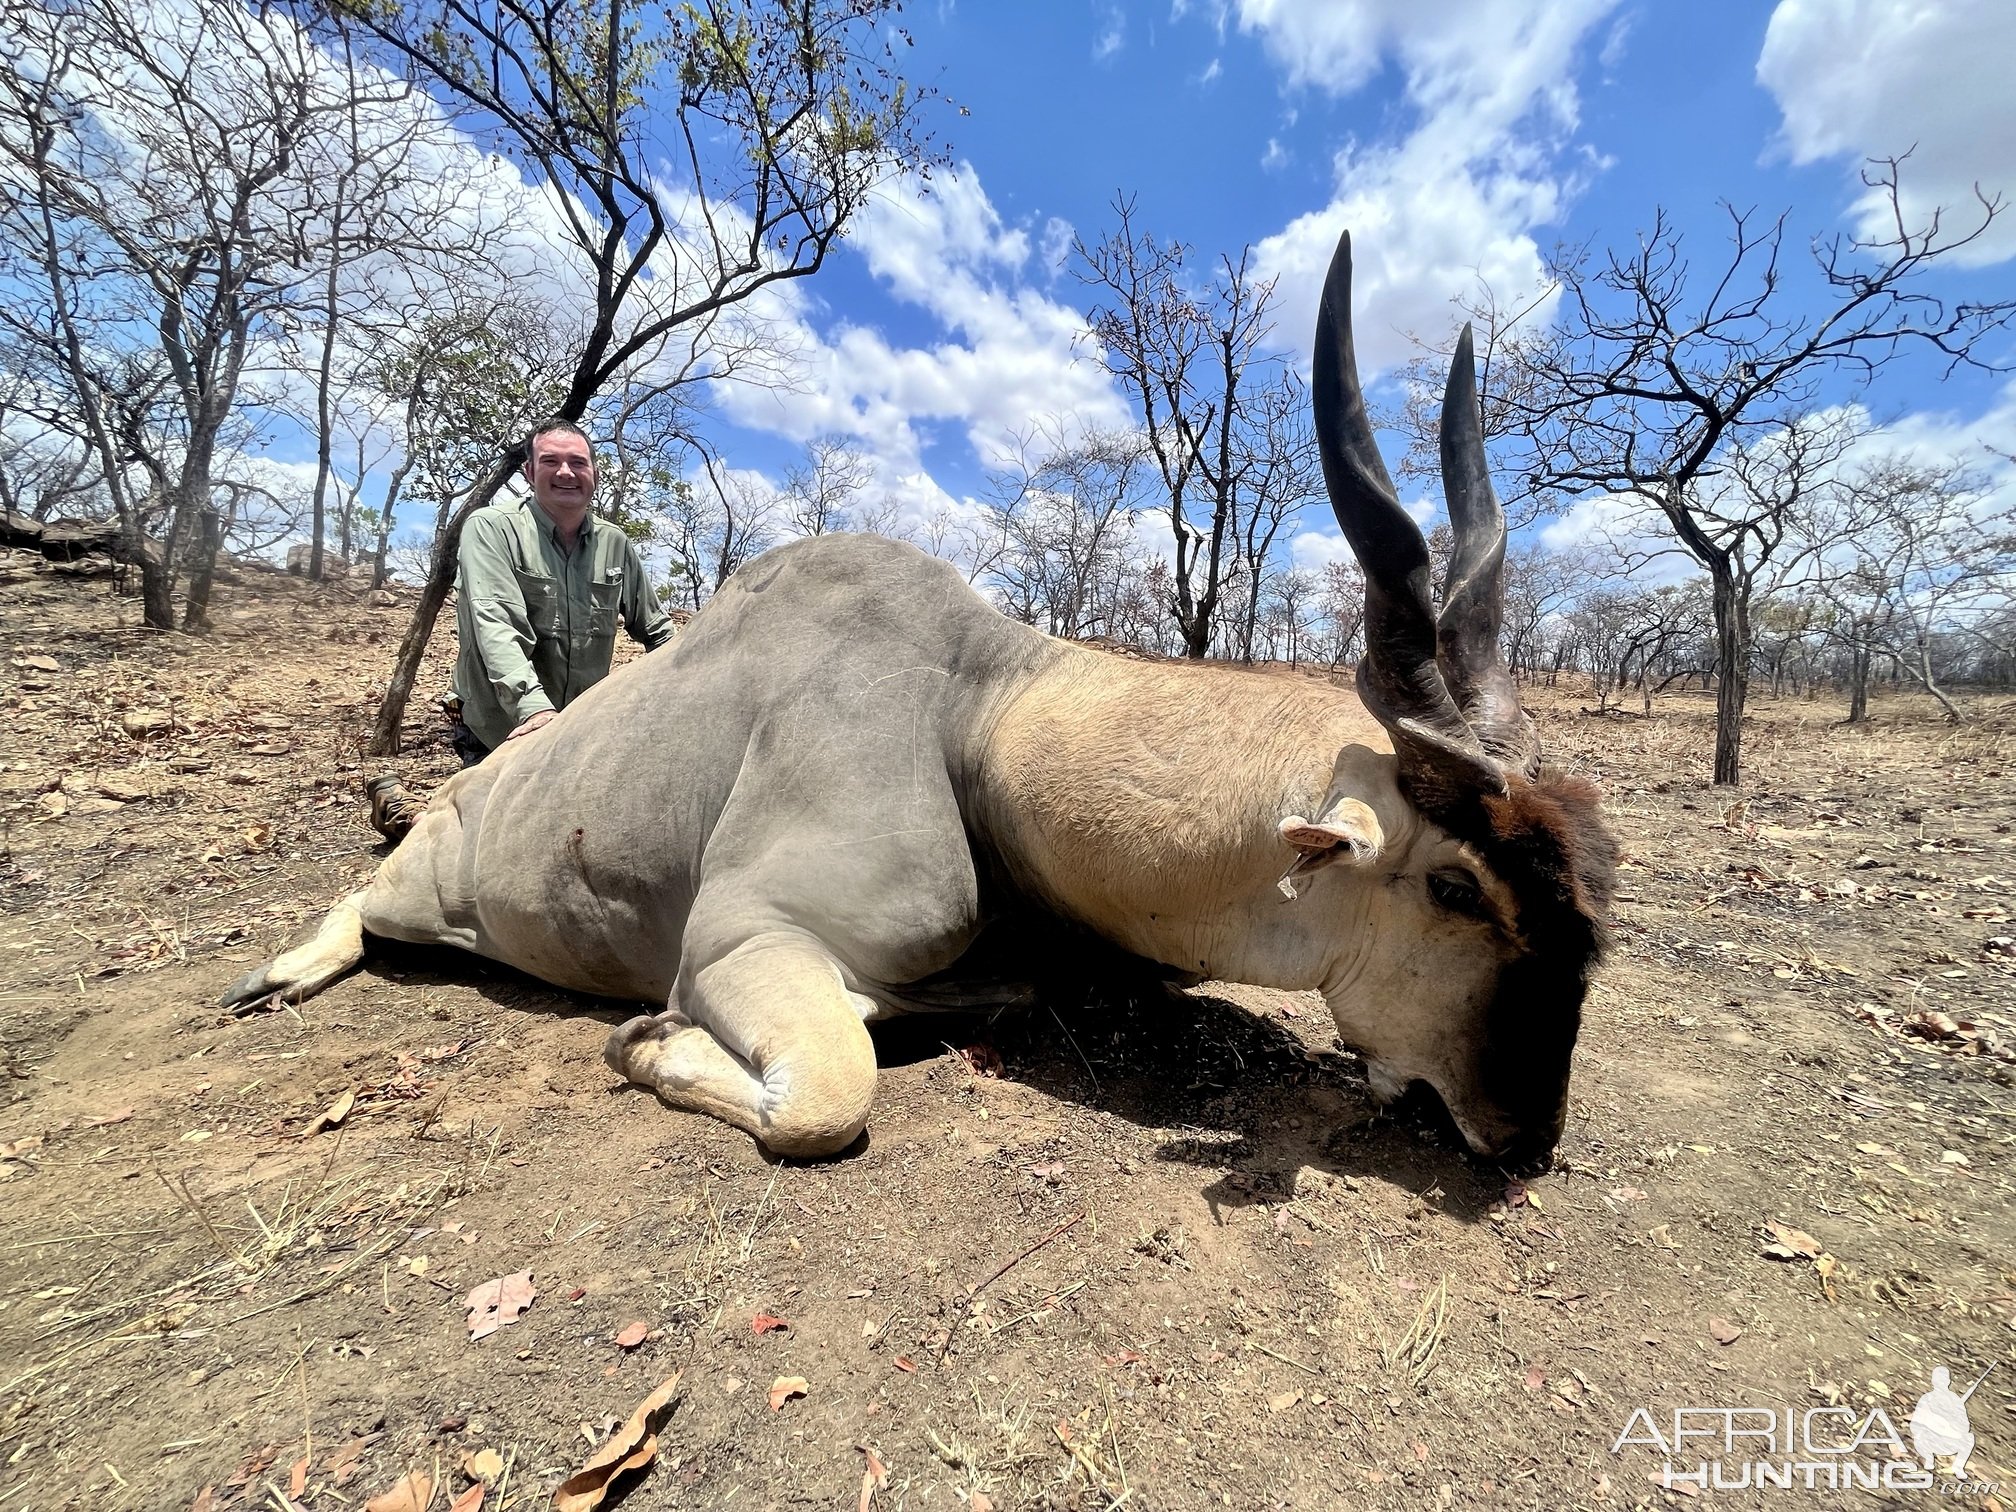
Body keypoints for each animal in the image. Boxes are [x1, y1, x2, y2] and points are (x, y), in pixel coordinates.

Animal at [220, 239, 1612, 1169]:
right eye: (1455, 887)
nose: (1527, 1138)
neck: (978, 712)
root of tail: (468, 783)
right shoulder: (743, 939)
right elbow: (826, 1092)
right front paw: (647, 1042)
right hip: (427, 893)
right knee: (364, 903)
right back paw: (281, 971)